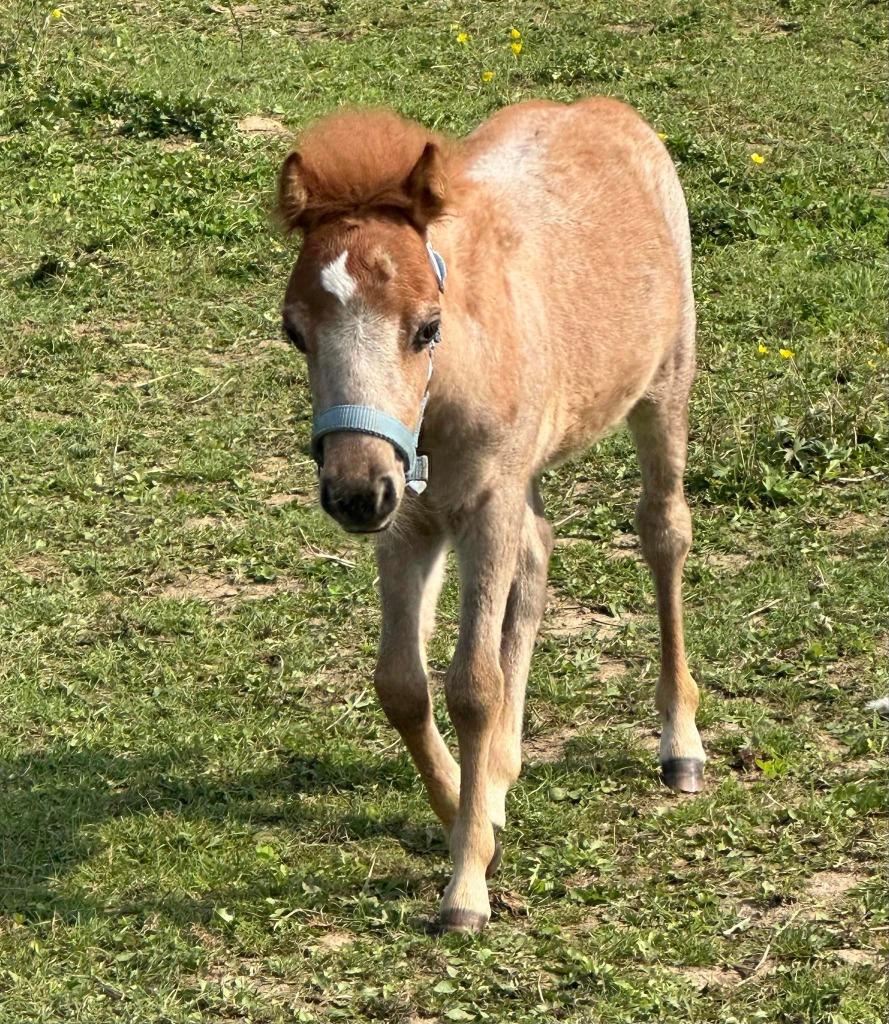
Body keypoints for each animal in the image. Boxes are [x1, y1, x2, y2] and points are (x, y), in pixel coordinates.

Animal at [276, 98, 704, 933]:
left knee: (663, 532)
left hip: (664, 385)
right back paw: (502, 773)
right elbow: (400, 684)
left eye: (425, 327)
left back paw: (680, 744)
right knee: (538, 556)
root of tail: (606, 110)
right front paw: (467, 814)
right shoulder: (409, 522)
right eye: (293, 330)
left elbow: (472, 686)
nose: (352, 491)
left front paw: (465, 888)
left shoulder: (484, 506)